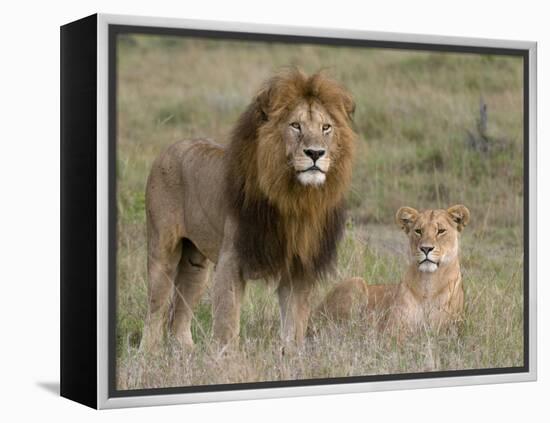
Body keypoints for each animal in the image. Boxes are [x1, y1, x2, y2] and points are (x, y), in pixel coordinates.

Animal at [142, 68, 358, 352]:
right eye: (295, 125)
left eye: (326, 128)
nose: (315, 153)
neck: (295, 197)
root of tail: (170, 148)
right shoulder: (232, 260)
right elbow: (227, 324)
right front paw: (227, 359)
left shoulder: (298, 268)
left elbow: (295, 325)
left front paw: (291, 355)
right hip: (162, 253)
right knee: (155, 311)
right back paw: (148, 354)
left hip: (195, 263)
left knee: (179, 313)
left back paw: (186, 352)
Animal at [312, 205, 472, 338]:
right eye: (418, 231)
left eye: (441, 231)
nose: (426, 248)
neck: (429, 283)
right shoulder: (392, 328)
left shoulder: (446, 331)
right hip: (356, 282)